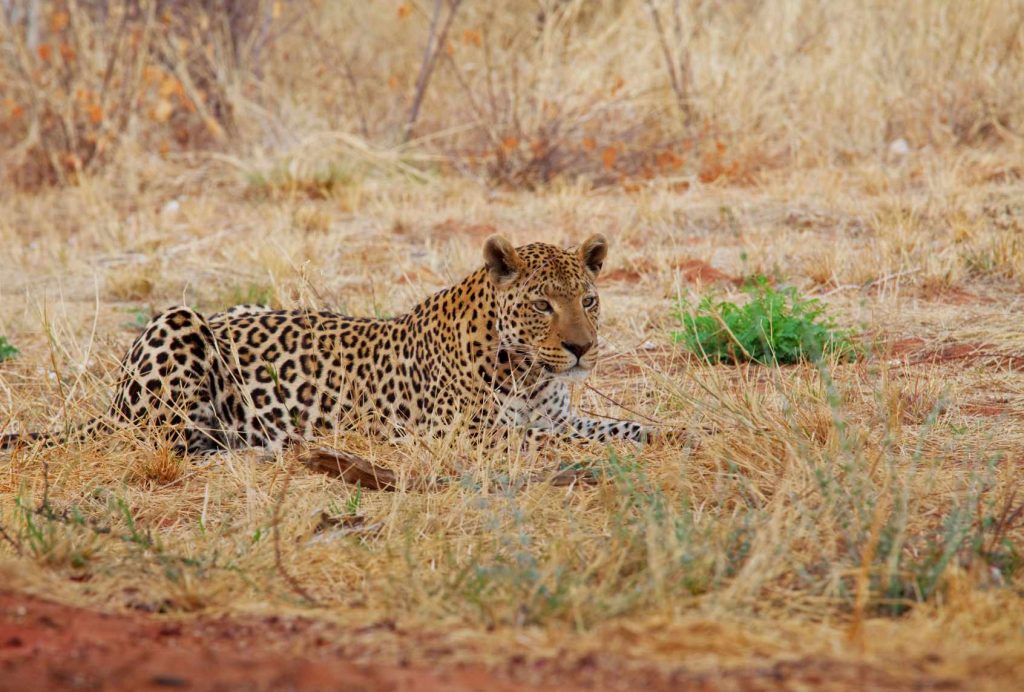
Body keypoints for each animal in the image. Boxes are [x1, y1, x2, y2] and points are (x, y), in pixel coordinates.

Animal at [1, 234, 654, 453]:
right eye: (543, 305)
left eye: (588, 301)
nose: (582, 349)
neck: (530, 371)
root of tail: (109, 405)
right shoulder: (468, 433)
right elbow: (544, 438)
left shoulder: (558, 415)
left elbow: (618, 426)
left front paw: (666, 435)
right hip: (179, 323)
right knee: (170, 441)